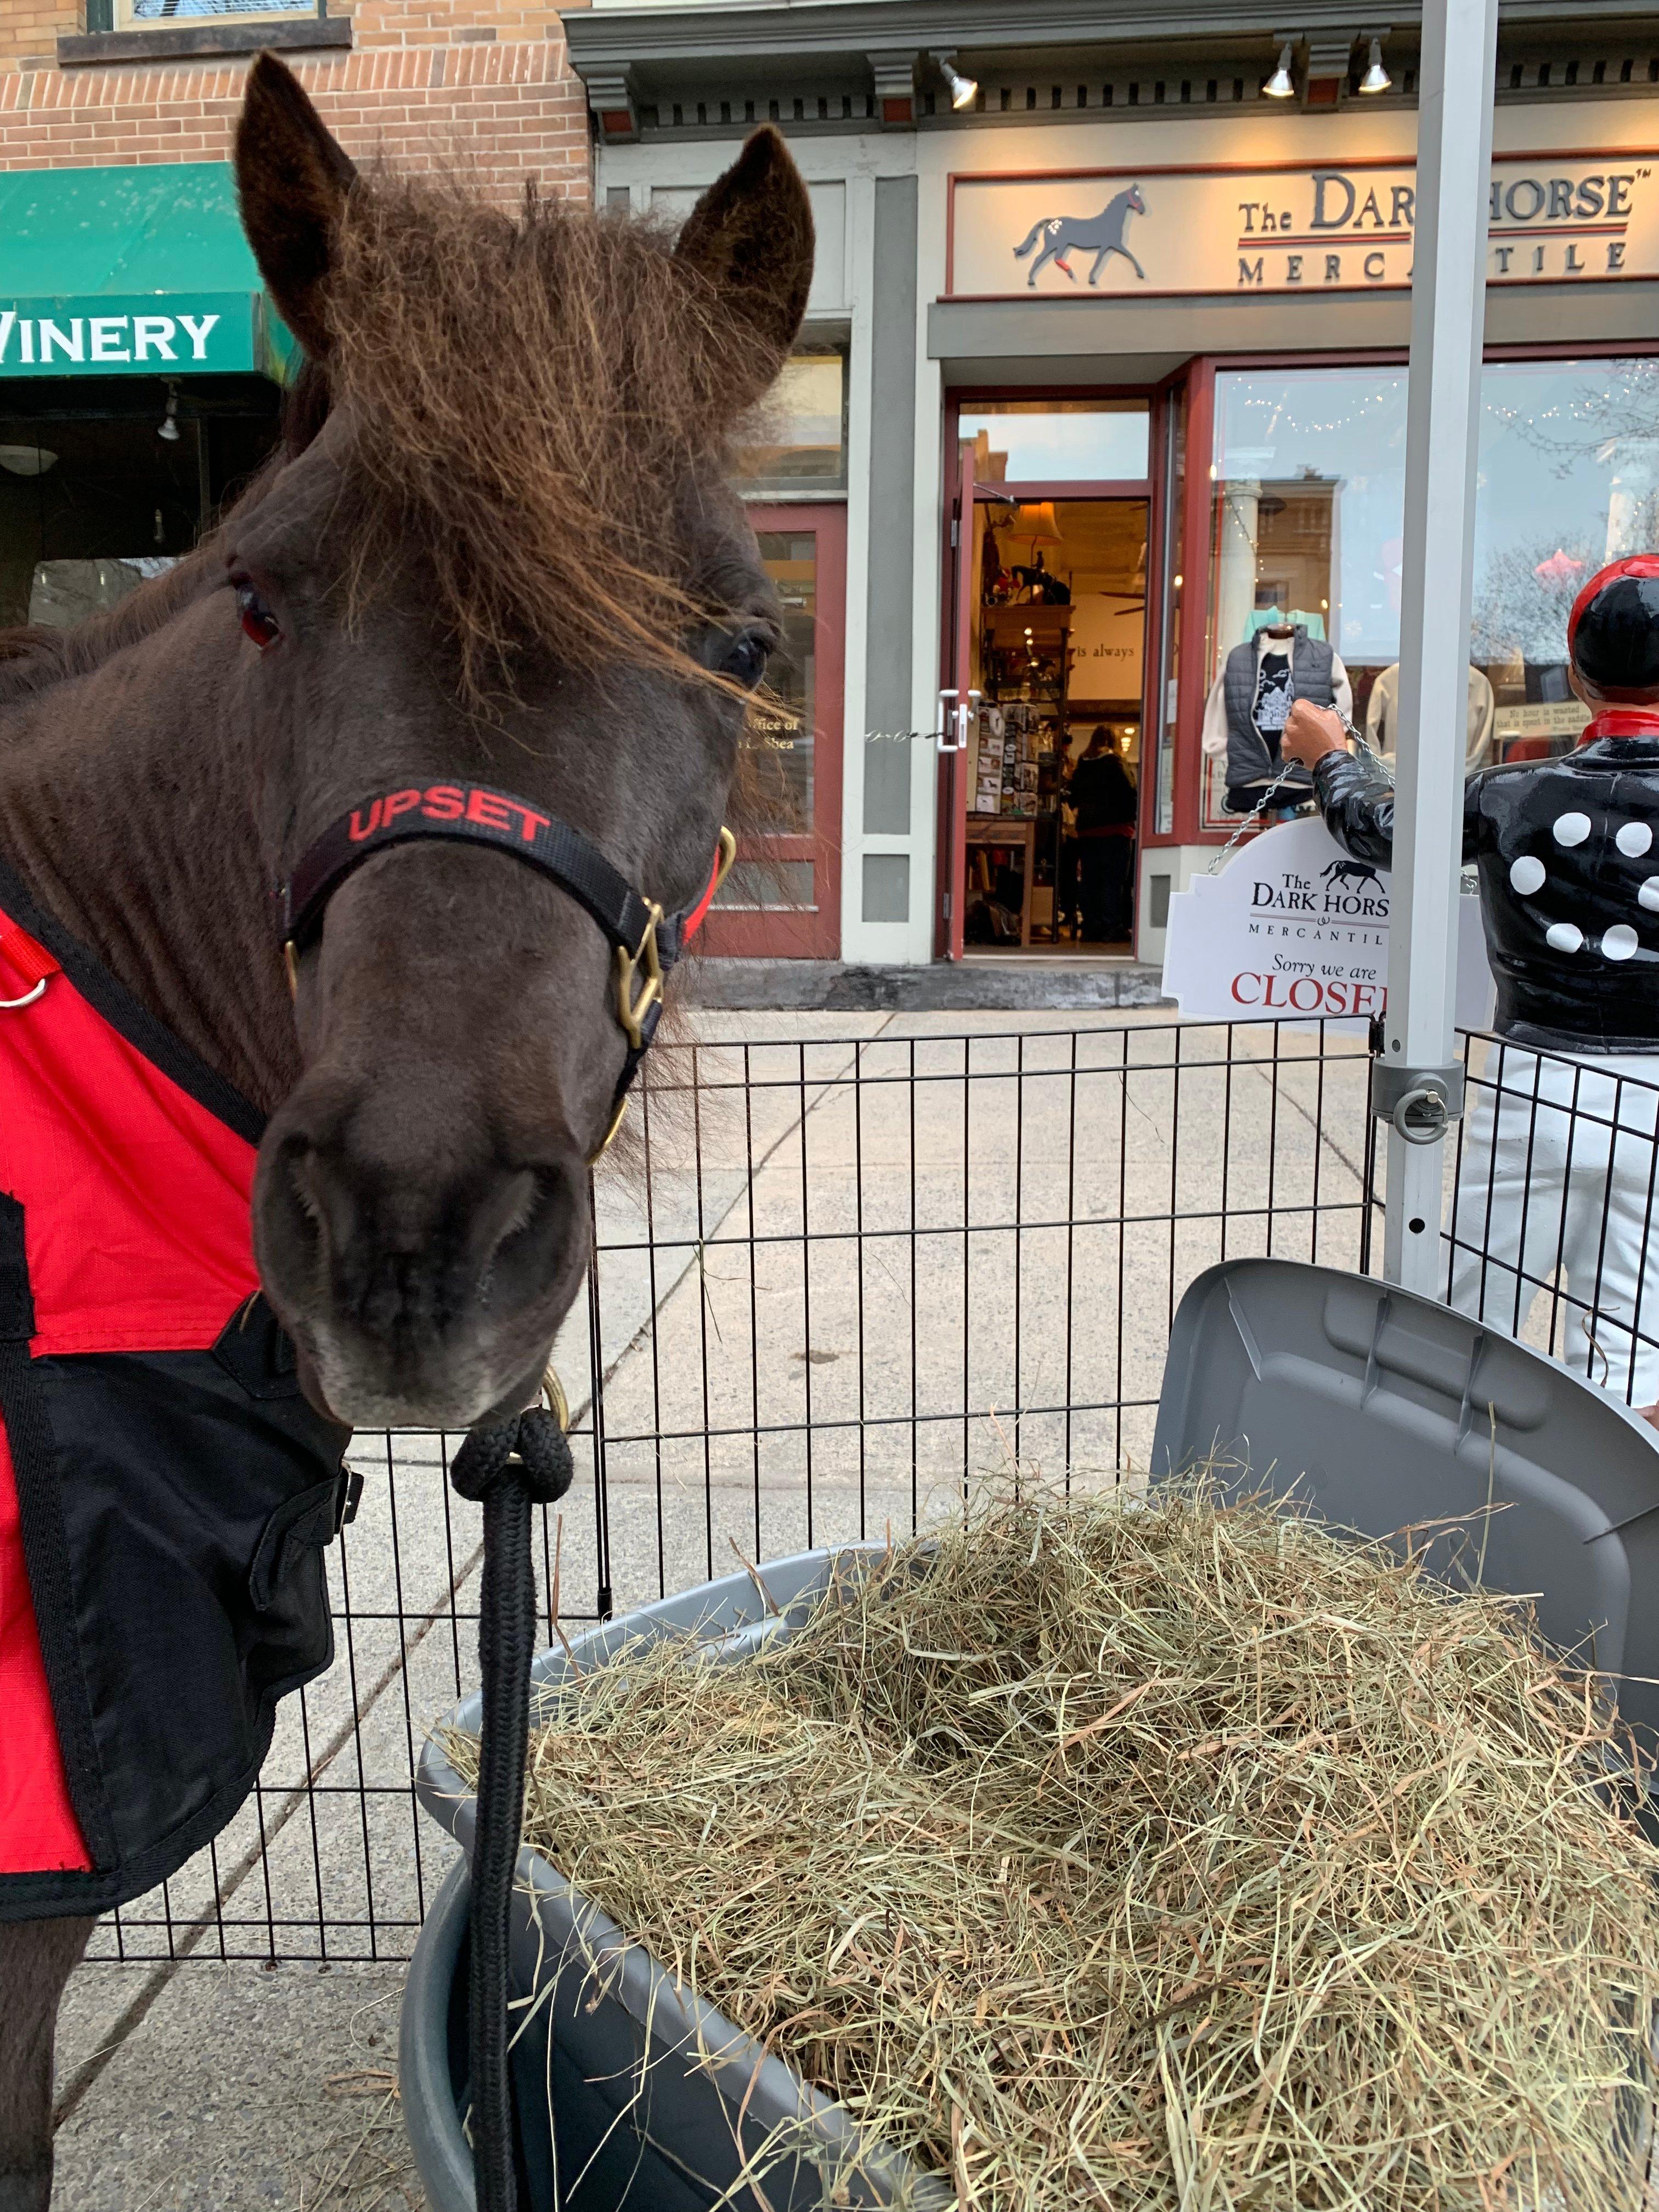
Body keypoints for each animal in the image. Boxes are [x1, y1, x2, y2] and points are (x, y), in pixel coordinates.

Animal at [1012, 184, 1147, 287]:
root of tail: (1052, 221)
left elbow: (1101, 260)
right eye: (1136, 195)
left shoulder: (1106, 246)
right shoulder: (1113, 244)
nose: (1142, 210)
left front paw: (1091, 278)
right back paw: (1032, 280)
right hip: (1054, 245)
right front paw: (1140, 273)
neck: (1110, 222)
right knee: (1039, 258)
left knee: (1056, 258)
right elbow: (1127, 256)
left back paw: (1069, 273)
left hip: (1062, 245)